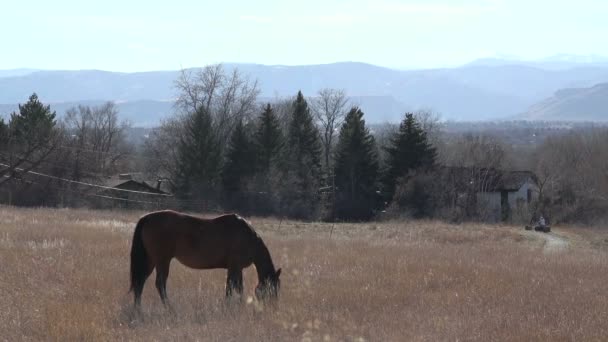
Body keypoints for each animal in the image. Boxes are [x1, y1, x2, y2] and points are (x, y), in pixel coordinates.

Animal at [129, 210, 282, 308]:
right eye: (272, 288)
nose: (273, 306)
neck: (247, 238)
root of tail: (147, 218)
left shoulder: (236, 268)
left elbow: (237, 287)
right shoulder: (235, 267)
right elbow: (232, 287)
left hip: (151, 260)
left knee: (140, 282)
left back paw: (138, 309)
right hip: (162, 260)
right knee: (160, 284)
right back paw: (169, 307)